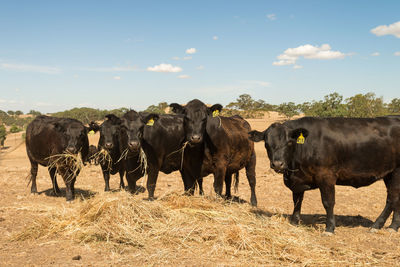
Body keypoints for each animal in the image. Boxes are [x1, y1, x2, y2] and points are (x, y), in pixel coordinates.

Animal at [250, 117, 400, 234]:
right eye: (266, 144)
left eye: (289, 142)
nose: (277, 164)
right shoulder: (297, 180)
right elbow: (297, 200)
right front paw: (294, 222)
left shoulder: (326, 176)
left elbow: (328, 202)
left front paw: (330, 228)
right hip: (389, 174)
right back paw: (393, 226)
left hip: (396, 172)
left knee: (392, 199)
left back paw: (378, 225)